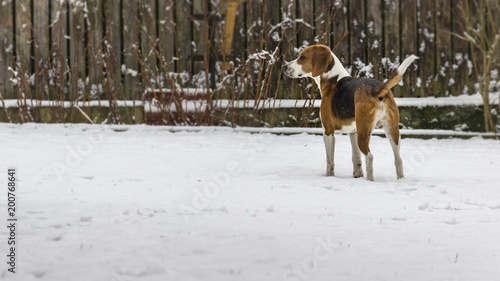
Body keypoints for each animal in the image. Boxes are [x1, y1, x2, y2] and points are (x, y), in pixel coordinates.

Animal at [282, 43, 418, 179]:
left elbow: (330, 160)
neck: (333, 79)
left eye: (302, 57)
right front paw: (357, 176)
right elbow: (356, 158)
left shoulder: (328, 131)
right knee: (398, 159)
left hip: (364, 134)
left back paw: (370, 180)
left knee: (369, 157)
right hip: (392, 131)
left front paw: (329, 176)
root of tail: (377, 89)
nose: (283, 67)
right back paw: (400, 180)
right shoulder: (353, 132)